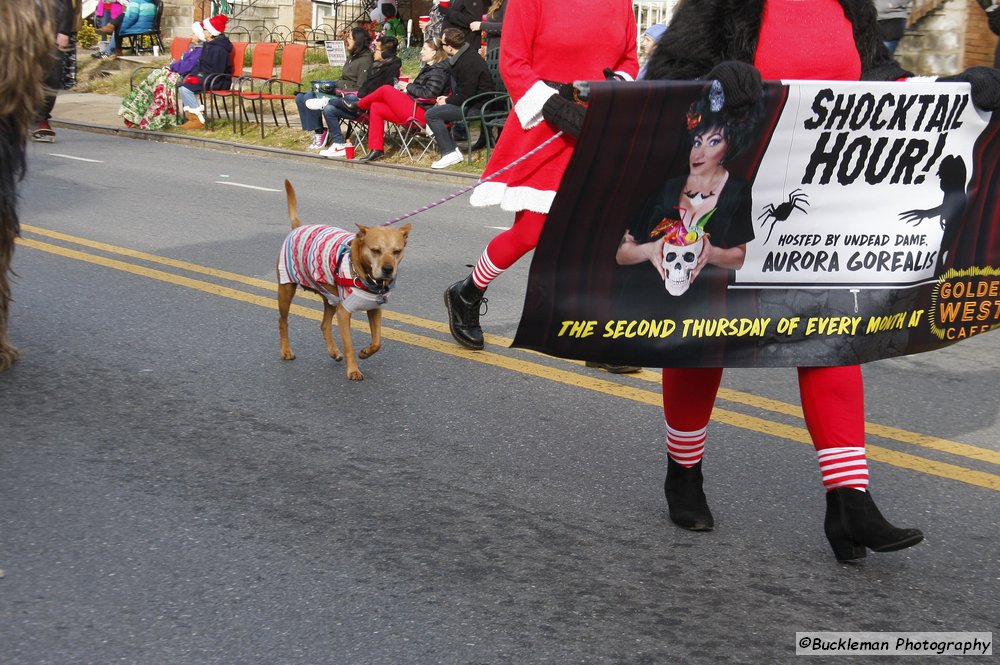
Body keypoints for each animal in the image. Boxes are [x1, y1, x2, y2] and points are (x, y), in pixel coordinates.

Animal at [278, 179, 410, 382]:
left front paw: (365, 352)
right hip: (286, 290)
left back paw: (333, 351)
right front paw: (353, 370)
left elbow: (377, 342)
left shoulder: (374, 309)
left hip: (331, 298)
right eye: (375, 250)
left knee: (324, 325)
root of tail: (298, 227)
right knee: (283, 321)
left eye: (397, 251)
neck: (364, 276)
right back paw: (286, 350)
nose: (388, 270)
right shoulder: (344, 312)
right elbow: (349, 346)